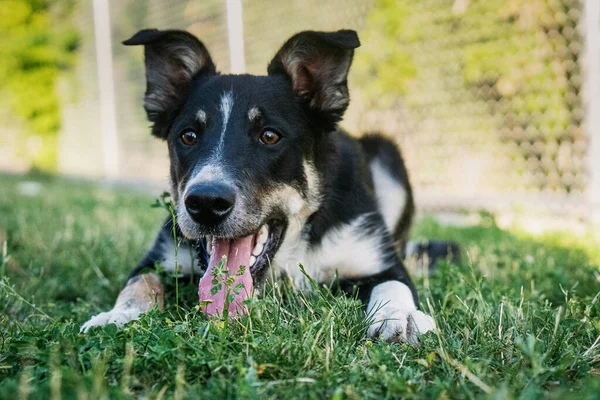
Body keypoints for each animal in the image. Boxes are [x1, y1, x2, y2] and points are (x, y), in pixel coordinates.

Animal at [79, 28, 438, 342]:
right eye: (188, 136)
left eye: (269, 136)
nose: (206, 203)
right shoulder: (162, 255)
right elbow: (140, 282)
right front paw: (119, 315)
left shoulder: (377, 258)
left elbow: (393, 285)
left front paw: (400, 317)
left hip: (387, 155)